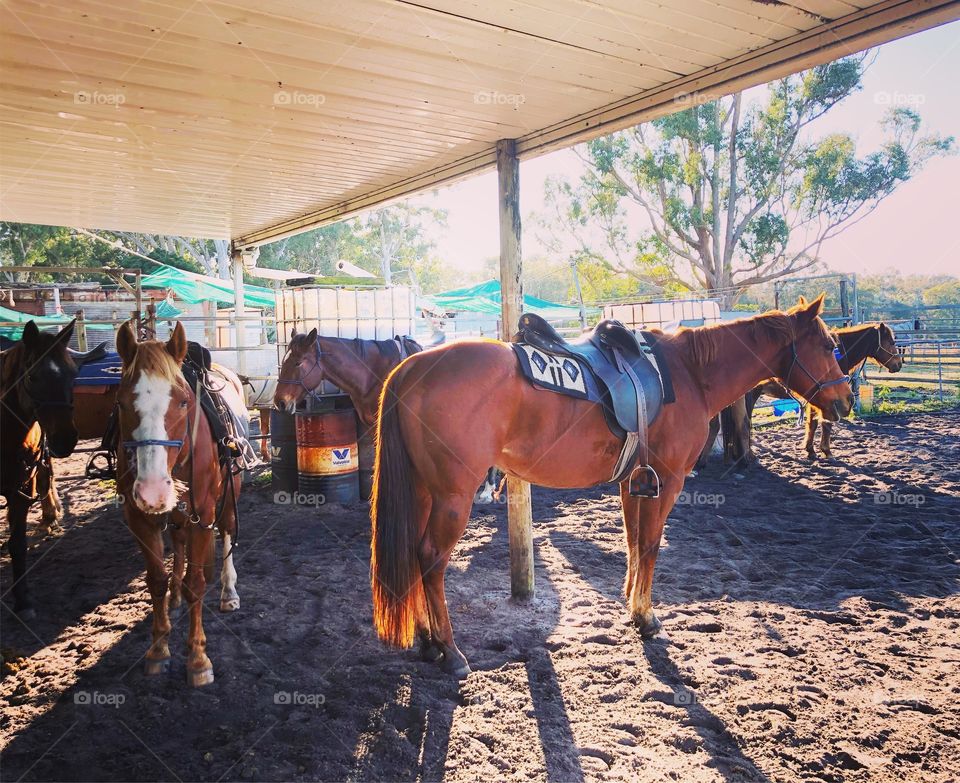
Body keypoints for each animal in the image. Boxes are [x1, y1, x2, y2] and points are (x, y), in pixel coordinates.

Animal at [1, 320, 98, 619]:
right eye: (32, 377)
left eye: (73, 375)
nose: (66, 438)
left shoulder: (21, 488)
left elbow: (18, 544)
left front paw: (23, 600)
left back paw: (50, 515)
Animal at [114, 320, 245, 687]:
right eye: (121, 402)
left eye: (184, 402)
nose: (153, 489)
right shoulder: (139, 519)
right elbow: (156, 579)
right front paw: (158, 649)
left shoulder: (204, 512)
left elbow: (196, 585)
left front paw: (198, 659)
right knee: (179, 540)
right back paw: (174, 595)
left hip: (227, 497)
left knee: (227, 531)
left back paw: (228, 592)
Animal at [369, 295, 853, 677]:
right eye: (829, 345)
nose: (846, 401)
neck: (689, 372)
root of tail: (413, 367)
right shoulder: (669, 481)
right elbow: (652, 544)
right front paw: (646, 616)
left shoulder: (633, 482)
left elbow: (634, 540)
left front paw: (630, 602)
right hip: (453, 497)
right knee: (430, 559)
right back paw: (449, 650)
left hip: (423, 493)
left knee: (412, 553)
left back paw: (427, 641)